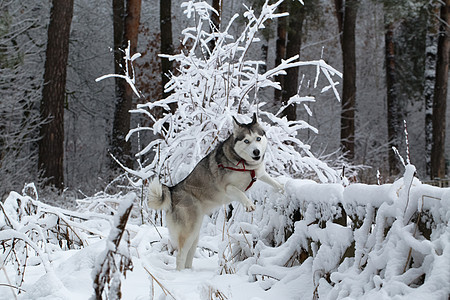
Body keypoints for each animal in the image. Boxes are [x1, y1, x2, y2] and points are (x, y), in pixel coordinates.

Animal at [148, 113, 282, 270]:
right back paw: (180, 273)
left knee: (189, 254)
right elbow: (240, 192)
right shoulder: (227, 188)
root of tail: (172, 190)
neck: (244, 164)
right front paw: (248, 204)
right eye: (246, 141)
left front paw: (283, 189)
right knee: (180, 255)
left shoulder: (260, 173)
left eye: (258, 138)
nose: (256, 152)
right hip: (189, 231)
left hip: (195, 232)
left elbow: (275, 182)